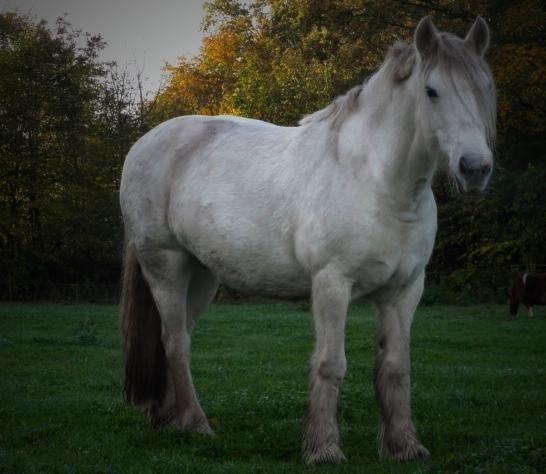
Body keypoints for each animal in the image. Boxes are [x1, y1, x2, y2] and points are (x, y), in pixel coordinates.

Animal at [119, 17, 492, 462]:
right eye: (431, 91)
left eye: (486, 87)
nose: (475, 169)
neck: (376, 180)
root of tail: (146, 143)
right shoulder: (332, 284)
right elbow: (331, 364)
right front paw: (324, 448)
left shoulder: (405, 290)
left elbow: (396, 367)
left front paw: (404, 446)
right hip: (166, 267)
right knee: (176, 343)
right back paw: (196, 425)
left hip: (202, 275)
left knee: (175, 341)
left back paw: (166, 418)